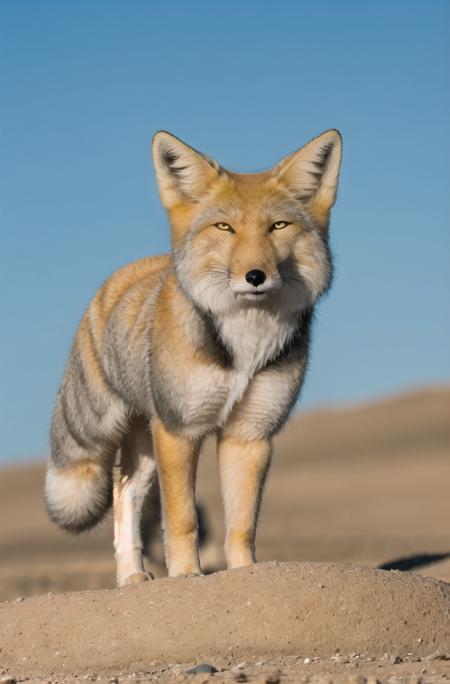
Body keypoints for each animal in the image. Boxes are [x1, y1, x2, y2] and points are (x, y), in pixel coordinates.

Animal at [44, 130, 342, 588]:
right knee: (124, 496)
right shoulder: (181, 428)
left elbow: (242, 525)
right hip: (132, 431)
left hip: (147, 445)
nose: (255, 276)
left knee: (123, 492)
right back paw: (132, 578)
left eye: (277, 226)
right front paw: (186, 577)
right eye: (225, 227)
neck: (245, 347)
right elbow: (182, 518)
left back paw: (131, 576)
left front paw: (245, 575)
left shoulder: (249, 434)